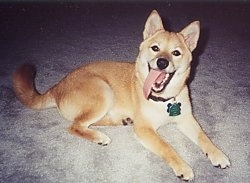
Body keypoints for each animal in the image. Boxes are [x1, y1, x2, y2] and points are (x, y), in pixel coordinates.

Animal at [12, 10, 230, 180]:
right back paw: (99, 136)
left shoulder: (187, 120)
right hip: (103, 91)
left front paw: (217, 154)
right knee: (75, 126)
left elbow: (204, 137)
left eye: (176, 53)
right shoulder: (145, 129)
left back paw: (119, 121)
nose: (162, 62)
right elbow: (166, 147)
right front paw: (182, 166)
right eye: (155, 48)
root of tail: (58, 86)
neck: (163, 99)